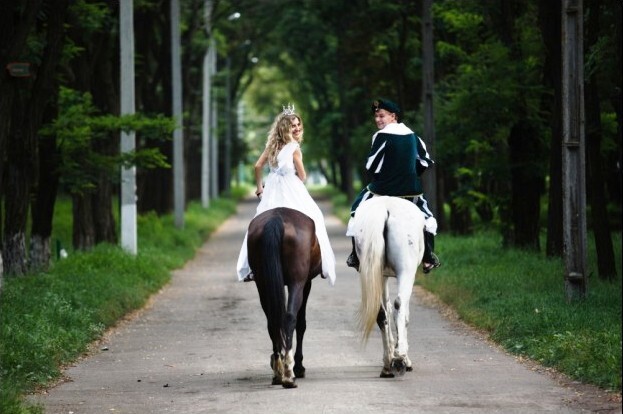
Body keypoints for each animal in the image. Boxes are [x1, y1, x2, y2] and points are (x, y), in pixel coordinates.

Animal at [246, 207, 322, 388]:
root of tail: (277, 218)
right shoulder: (306, 283)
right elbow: (301, 324)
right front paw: (299, 367)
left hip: (263, 283)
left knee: (272, 320)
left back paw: (278, 372)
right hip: (297, 282)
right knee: (290, 318)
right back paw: (289, 372)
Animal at [354, 196, 426, 376]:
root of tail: (385, 210)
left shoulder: (383, 275)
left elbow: (386, 308)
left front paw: (392, 353)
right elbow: (404, 315)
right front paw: (403, 356)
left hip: (373, 269)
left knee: (381, 312)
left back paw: (387, 364)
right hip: (406, 271)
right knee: (399, 305)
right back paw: (400, 358)